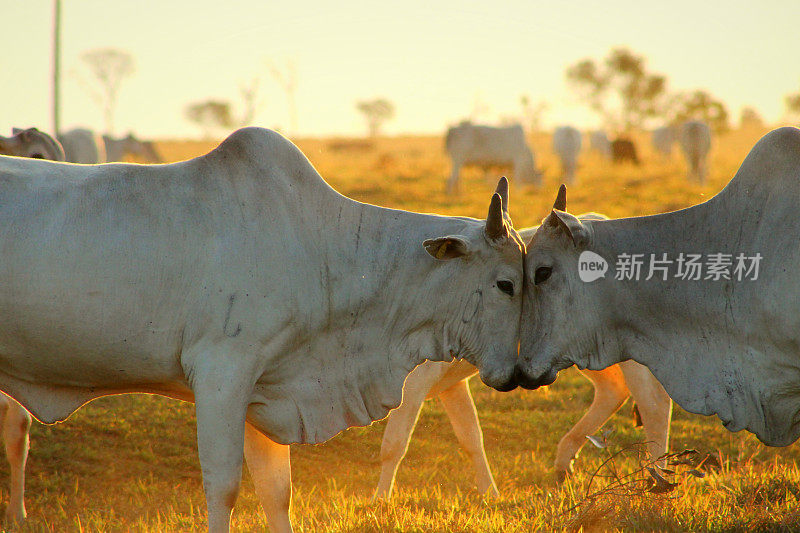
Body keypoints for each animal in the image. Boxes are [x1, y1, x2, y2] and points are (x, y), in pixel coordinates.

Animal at [0, 129, 524, 532]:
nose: (518, 370)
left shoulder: (264, 387)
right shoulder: (221, 378)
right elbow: (224, 486)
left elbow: (277, 492)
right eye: (506, 283)